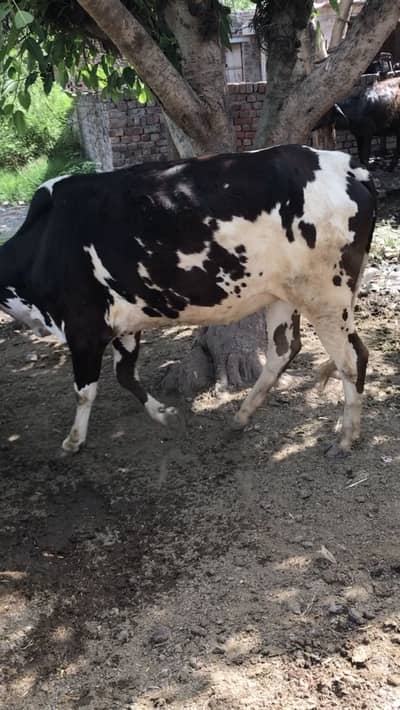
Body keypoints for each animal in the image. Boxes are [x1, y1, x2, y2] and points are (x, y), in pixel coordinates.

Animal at [0, 145, 376, 457]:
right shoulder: (124, 324)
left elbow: (84, 390)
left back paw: (345, 438)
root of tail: (348, 165)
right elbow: (125, 374)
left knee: (352, 358)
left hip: (325, 296)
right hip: (285, 293)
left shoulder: (84, 327)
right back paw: (241, 417)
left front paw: (73, 441)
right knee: (282, 351)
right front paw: (164, 414)